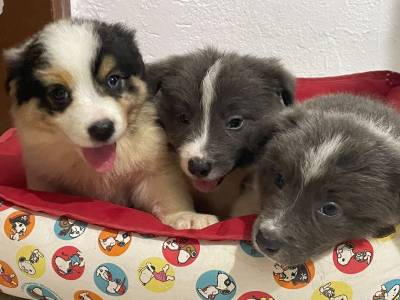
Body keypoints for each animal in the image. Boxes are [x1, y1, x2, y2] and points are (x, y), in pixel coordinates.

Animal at [3, 18, 217, 229]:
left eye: (112, 80)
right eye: (58, 93)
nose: (102, 129)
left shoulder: (155, 169)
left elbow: (168, 195)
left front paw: (187, 217)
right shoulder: (42, 174)